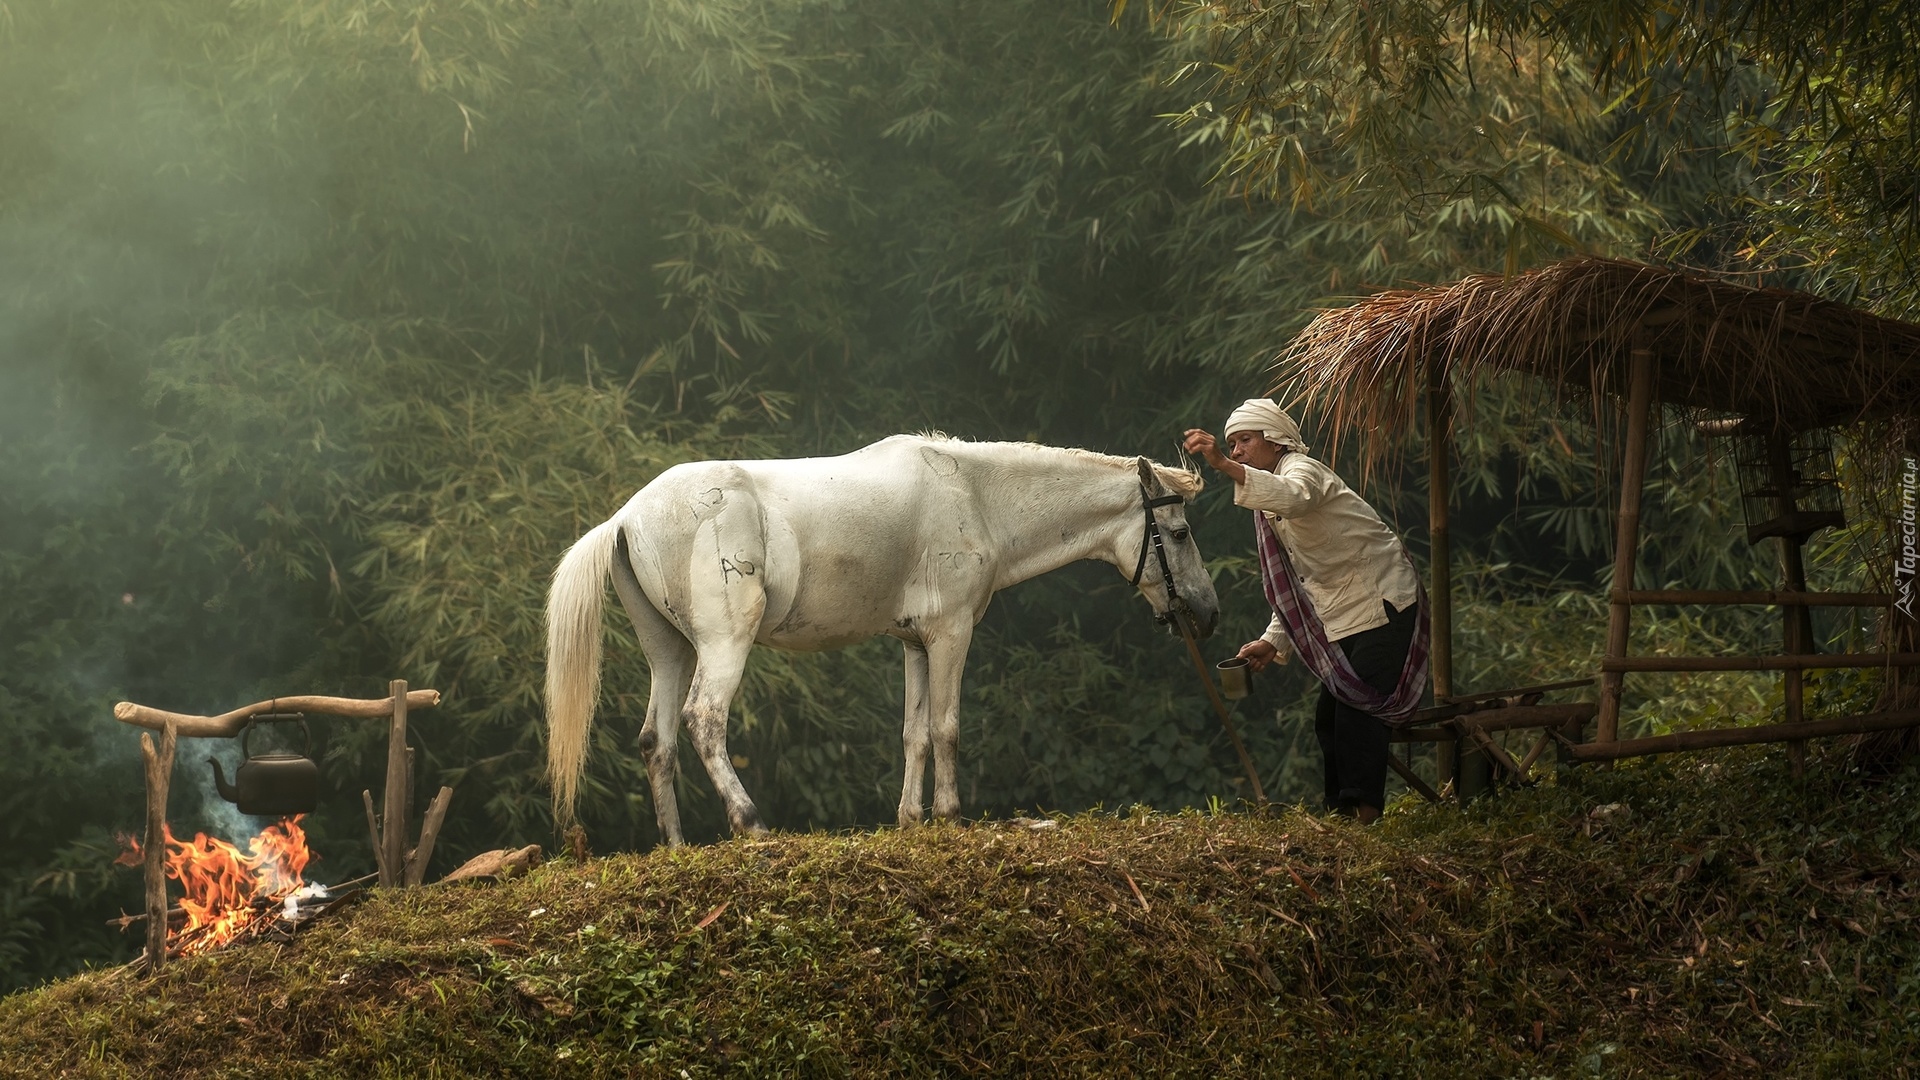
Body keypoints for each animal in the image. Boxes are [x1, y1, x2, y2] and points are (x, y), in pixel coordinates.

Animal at [541, 430, 1213, 841]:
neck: (973, 494)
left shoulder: (915, 643)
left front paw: (911, 821)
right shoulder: (950, 634)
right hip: (723, 645)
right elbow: (946, 727)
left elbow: (914, 734)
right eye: (1179, 532)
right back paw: (751, 823)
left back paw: (676, 845)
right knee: (704, 720)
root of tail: (627, 516)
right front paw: (949, 816)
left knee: (656, 740)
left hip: (670, 651)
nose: (1205, 612)